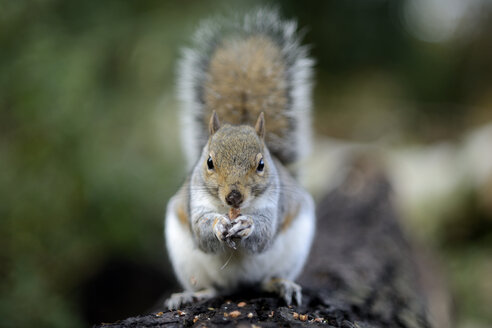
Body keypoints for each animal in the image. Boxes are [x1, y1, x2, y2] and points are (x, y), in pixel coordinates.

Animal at [163, 8, 314, 310]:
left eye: (261, 165)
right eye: (209, 162)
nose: (234, 197)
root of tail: (238, 287)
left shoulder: (274, 204)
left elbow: (264, 234)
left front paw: (247, 224)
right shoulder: (196, 201)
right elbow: (202, 230)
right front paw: (218, 224)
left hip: (293, 251)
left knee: (265, 281)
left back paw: (282, 285)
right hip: (187, 260)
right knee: (213, 289)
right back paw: (190, 295)